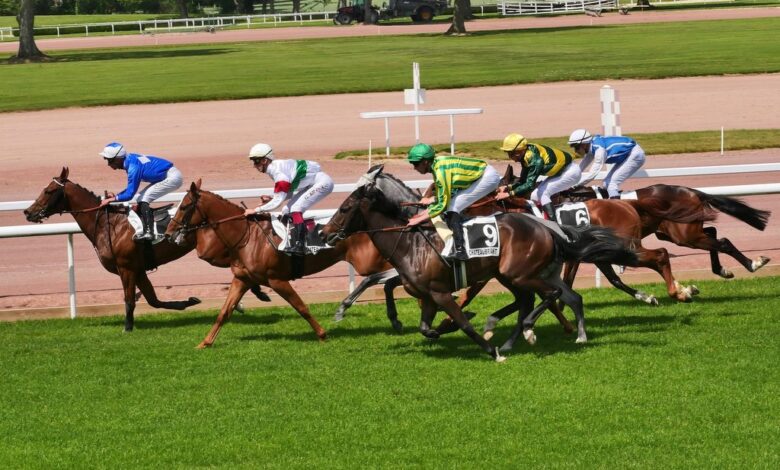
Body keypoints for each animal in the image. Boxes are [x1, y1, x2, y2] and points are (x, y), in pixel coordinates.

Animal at [25, 167, 204, 332]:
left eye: (48, 191)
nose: (28, 212)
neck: (109, 224)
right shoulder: (138, 269)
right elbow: (153, 300)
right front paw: (188, 302)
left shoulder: (126, 268)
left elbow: (130, 300)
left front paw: (127, 328)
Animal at [168, 180, 406, 348]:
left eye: (185, 206)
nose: (170, 233)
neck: (247, 237)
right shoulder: (242, 279)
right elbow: (224, 312)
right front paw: (205, 342)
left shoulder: (276, 279)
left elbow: (301, 307)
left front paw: (322, 334)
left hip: (369, 262)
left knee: (387, 275)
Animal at [320, 168, 636, 360]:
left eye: (345, 208)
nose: (324, 233)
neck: (412, 240)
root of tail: (548, 227)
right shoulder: (427, 293)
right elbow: (412, 314)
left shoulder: (441, 291)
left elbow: (462, 321)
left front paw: (485, 344)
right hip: (518, 274)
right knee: (554, 298)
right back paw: (563, 334)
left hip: (517, 274)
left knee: (547, 296)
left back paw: (529, 331)